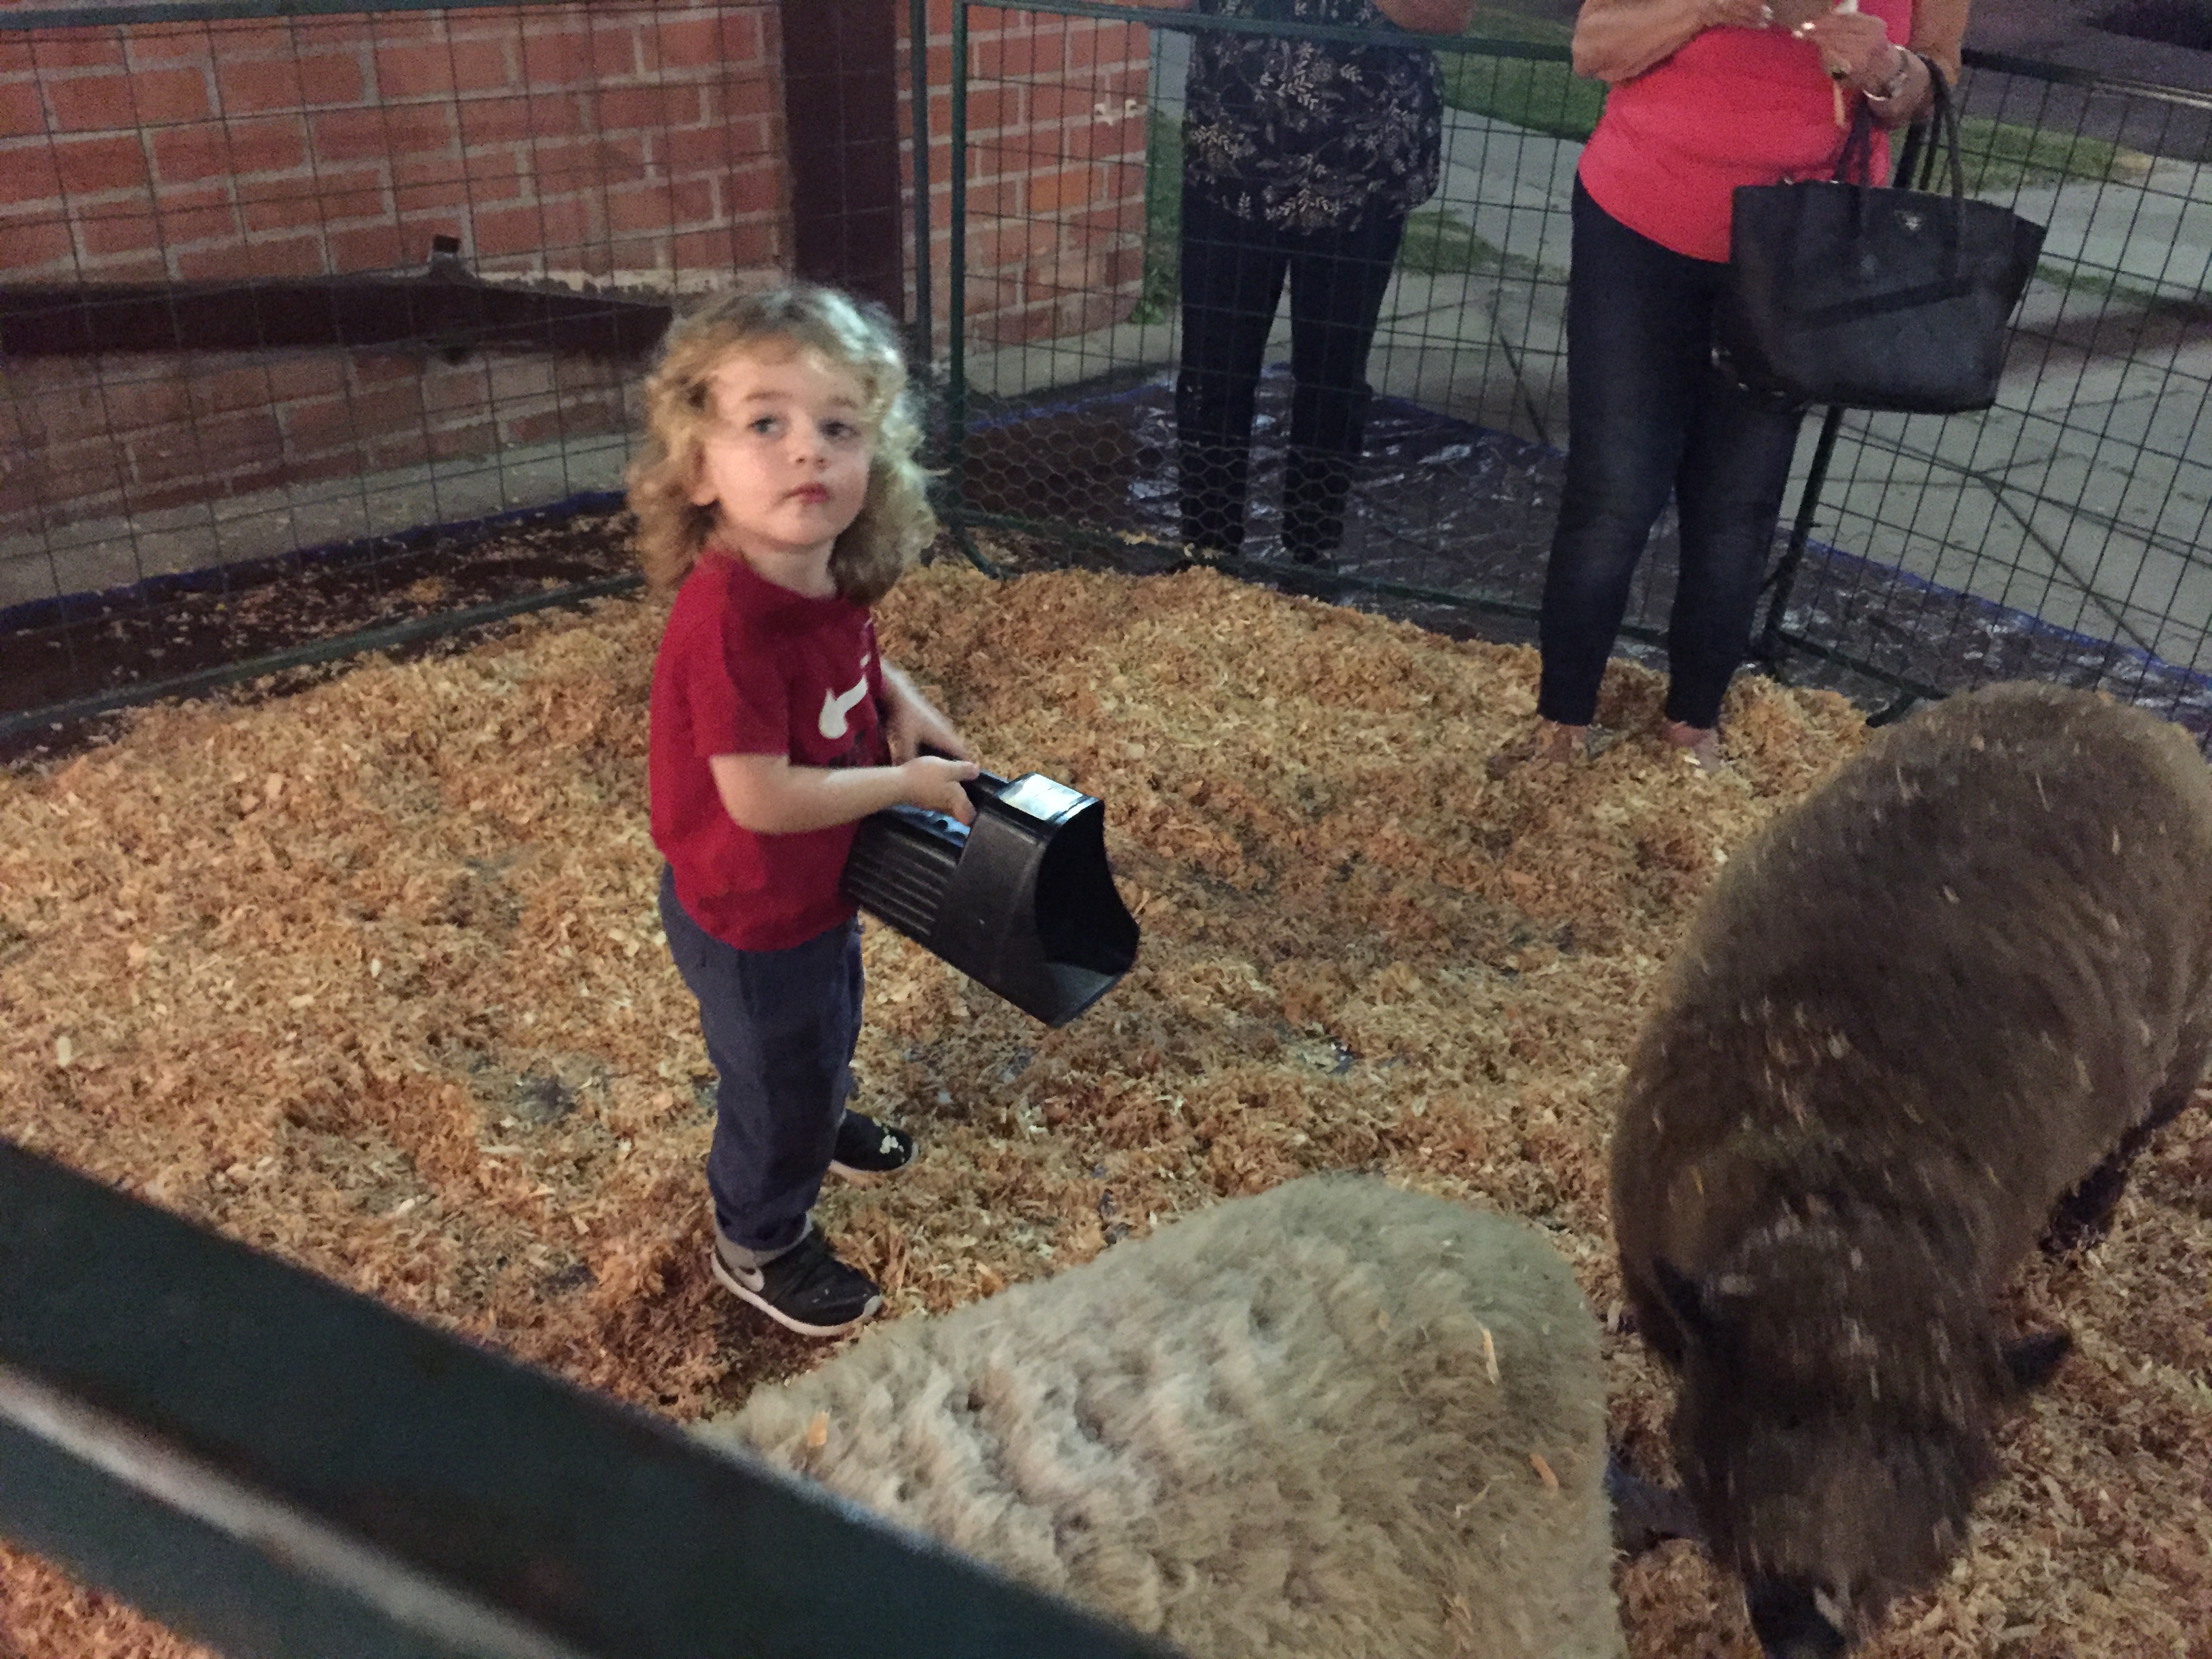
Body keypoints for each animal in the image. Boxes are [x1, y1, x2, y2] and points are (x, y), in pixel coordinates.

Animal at [1610, 681, 2212, 1657]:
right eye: (1767, 1412)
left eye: (1941, 1468)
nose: (1809, 1630)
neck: (1845, 1185)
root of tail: (2134, 715)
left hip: (2183, 1050)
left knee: (2131, 1142)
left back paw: (2079, 1233)